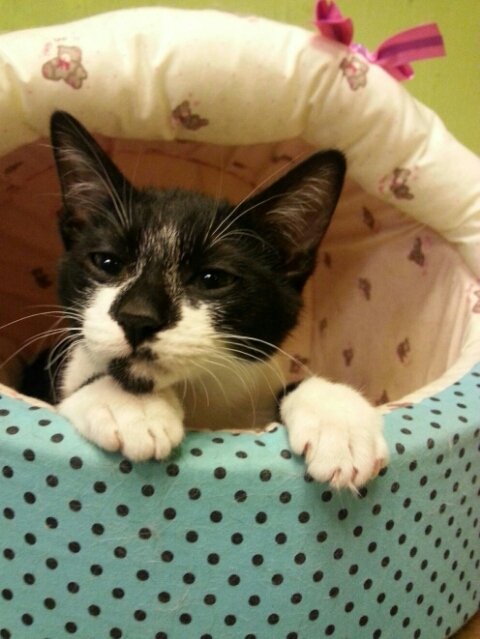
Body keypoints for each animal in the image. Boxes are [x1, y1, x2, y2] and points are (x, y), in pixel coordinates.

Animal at [43, 111, 388, 490]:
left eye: (213, 279)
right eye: (107, 262)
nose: (137, 316)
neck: (199, 396)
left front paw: (339, 420)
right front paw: (127, 406)